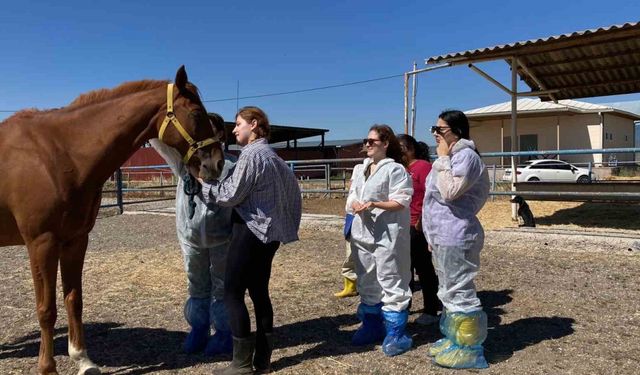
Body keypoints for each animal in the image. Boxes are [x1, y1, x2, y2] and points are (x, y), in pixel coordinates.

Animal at [0, 66, 225, 374]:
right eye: (196, 114)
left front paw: (83, 360)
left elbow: (74, 300)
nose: (217, 163)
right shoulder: (41, 243)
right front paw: (48, 367)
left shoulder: (75, 240)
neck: (58, 155)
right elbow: (46, 309)